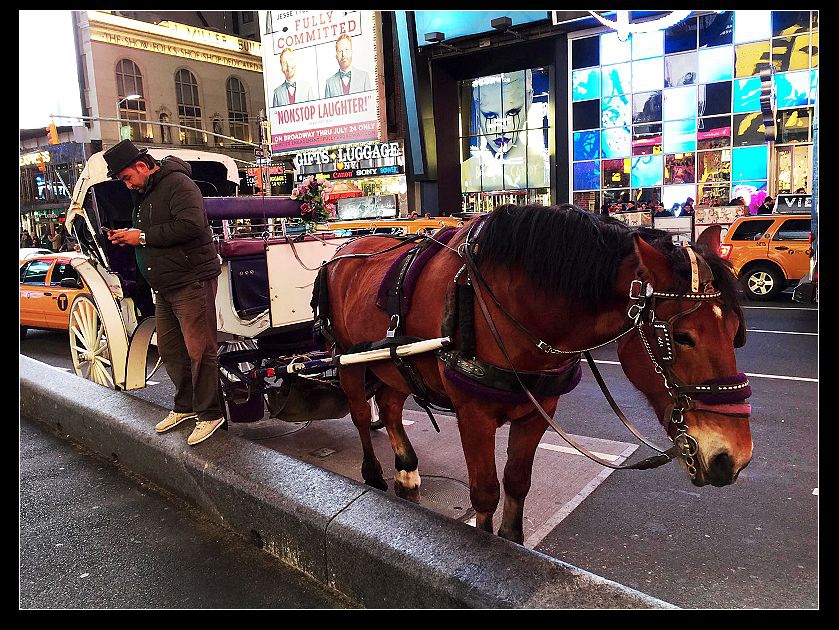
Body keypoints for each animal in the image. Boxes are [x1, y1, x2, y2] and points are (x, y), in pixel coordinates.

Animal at [322, 205, 756, 544]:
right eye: (682, 337)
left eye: (736, 331)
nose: (733, 458)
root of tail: (346, 247)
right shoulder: (474, 416)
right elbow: (485, 492)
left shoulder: (538, 411)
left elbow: (517, 482)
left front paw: (512, 541)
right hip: (347, 360)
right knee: (360, 412)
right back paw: (373, 474)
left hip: (392, 364)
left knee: (390, 405)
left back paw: (407, 470)